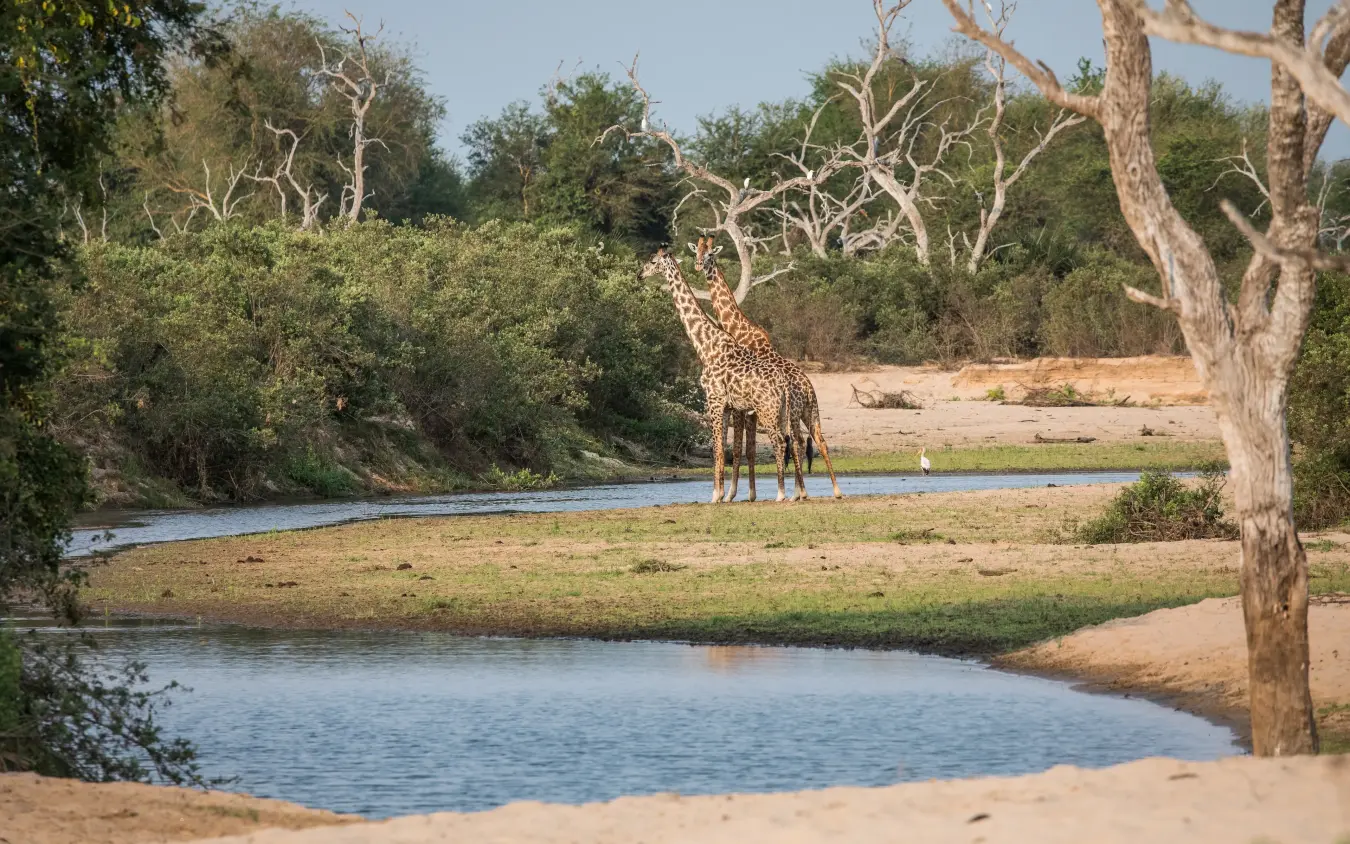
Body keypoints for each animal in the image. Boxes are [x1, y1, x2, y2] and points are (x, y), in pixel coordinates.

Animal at [639, 249, 806, 503]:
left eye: (652, 261)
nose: (639, 274)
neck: (705, 345)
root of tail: (785, 385)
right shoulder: (727, 405)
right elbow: (723, 449)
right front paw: (722, 494)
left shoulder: (714, 400)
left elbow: (717, 449)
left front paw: (715, 495)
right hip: (783, 412)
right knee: (792, 442)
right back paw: (794, 493)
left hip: (767, 411)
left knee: (779, 442)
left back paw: (780, 494)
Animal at [694, 236, 843, 499]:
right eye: (697, 251)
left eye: (711, 253)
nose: (699, 265)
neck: (739, 329)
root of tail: (808, 388)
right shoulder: (749, 408)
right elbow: (749, 448)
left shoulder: (743, 408)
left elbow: (742, 447)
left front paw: (733, 494)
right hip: (809, 411)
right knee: (814, 440)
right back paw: (829, 491)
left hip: (792, 412)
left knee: (796, 441)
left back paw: (798, 493)